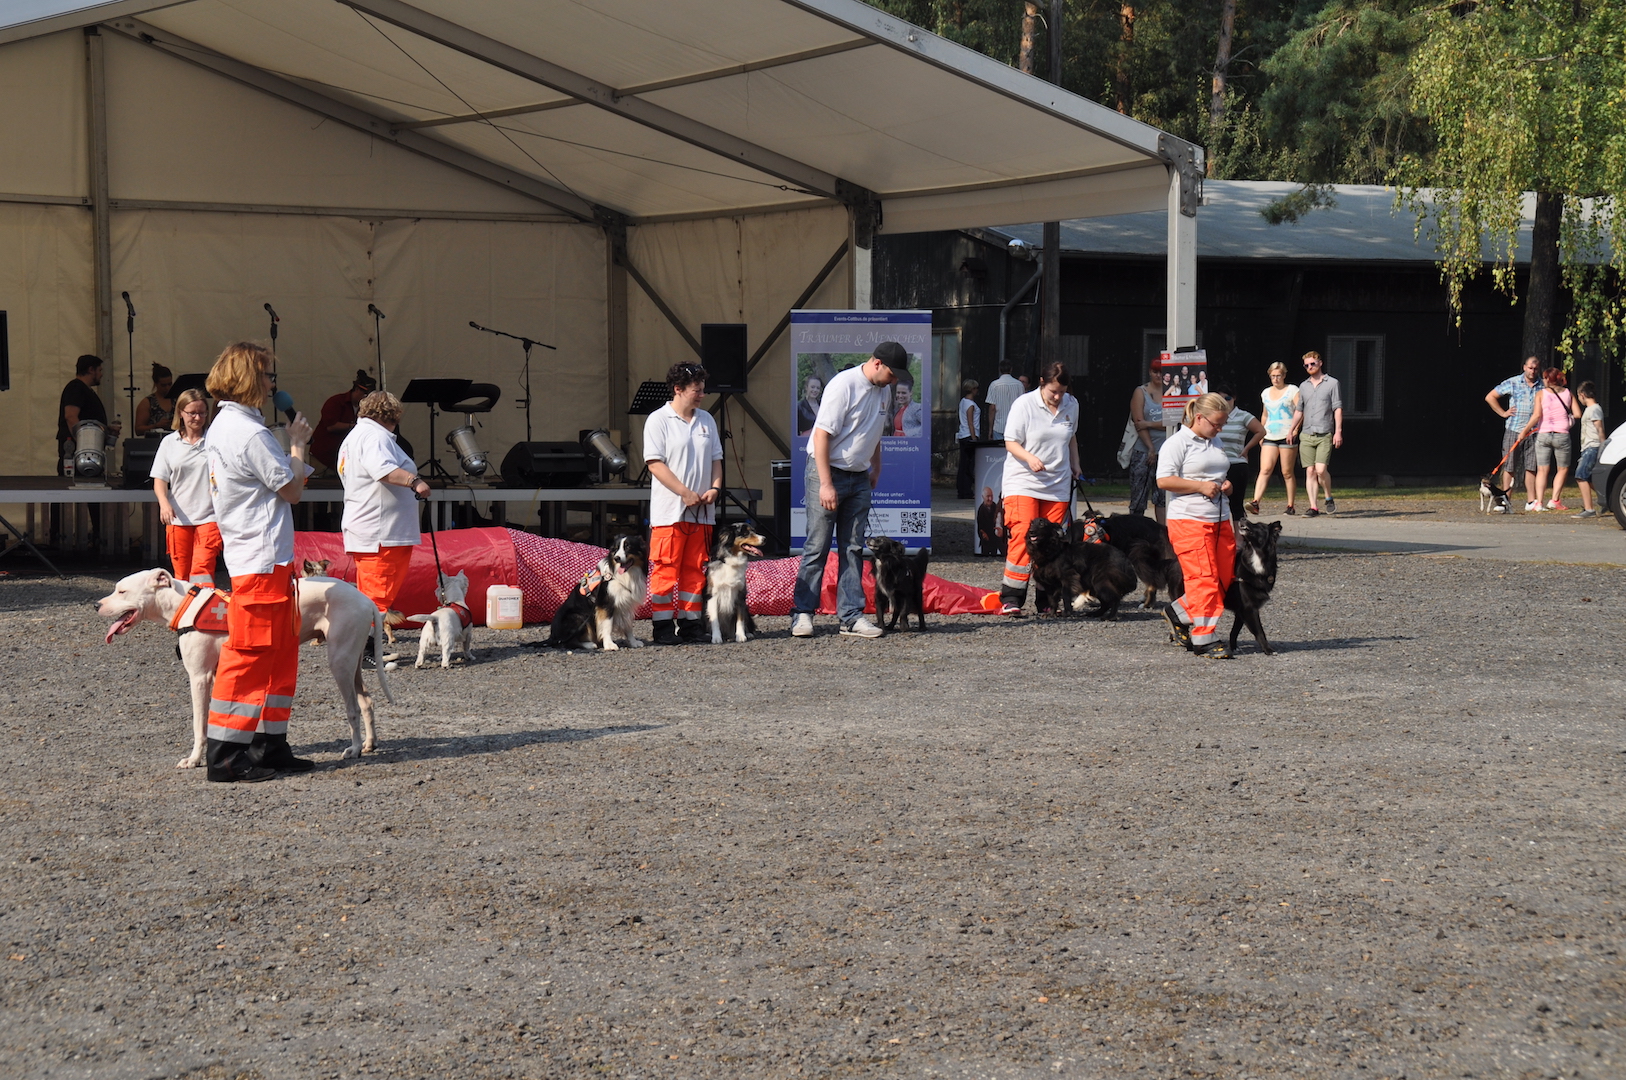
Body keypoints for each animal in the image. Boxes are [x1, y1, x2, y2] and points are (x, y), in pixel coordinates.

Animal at [97, 568, 392, 768]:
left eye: (122, 591)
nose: (96, 604)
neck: (184, 604)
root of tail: (365, 600)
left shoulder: (200, 678)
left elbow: (199, 724)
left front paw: (194, 759)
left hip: (339, 662)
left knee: (353, 709)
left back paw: (354, 749)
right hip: (352, 662)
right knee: (366, 702)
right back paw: (369, 743)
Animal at [1225, 519, 1282, 654]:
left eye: (1259, 526)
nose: (1242, 519)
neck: (1255, 554)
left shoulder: (1241, 610)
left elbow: (1234, 631)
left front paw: (1233, 647)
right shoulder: (1249, 608)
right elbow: (1260, 631)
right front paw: (1268, 649)